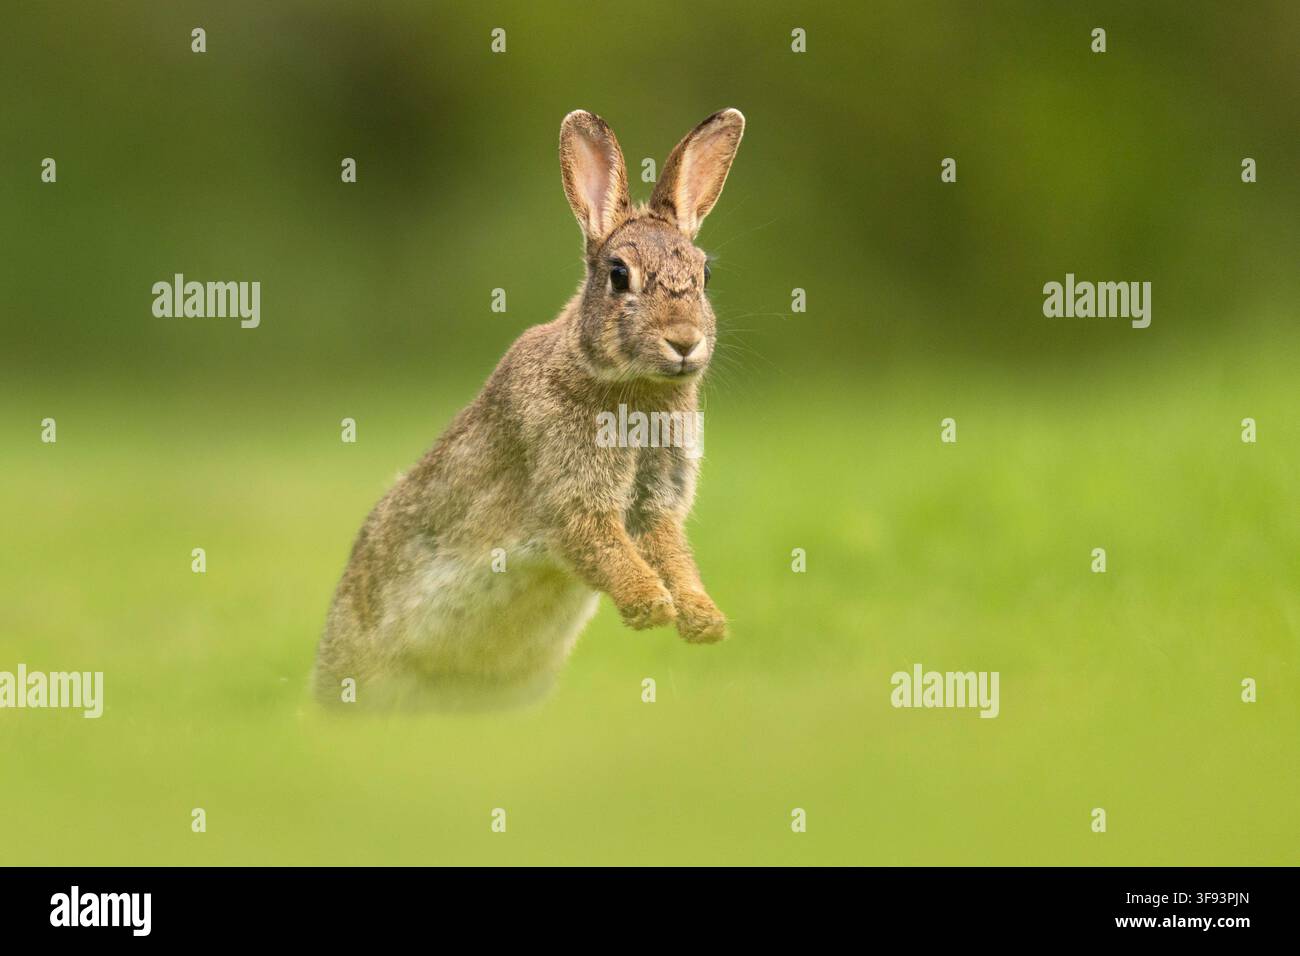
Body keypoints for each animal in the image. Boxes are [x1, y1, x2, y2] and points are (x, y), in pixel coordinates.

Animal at [312, 108, 745, 710]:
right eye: (619, 275)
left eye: (705, 275)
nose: (684, 342)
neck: (630, 388)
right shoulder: (570, 496)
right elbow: (600, 543)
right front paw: (651, 605)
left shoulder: (659, 503)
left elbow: (672, 552)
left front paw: (705, 621)